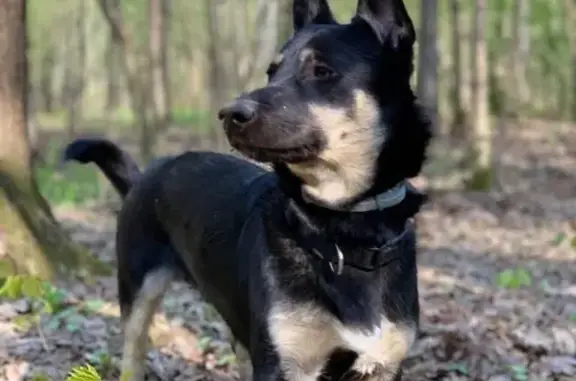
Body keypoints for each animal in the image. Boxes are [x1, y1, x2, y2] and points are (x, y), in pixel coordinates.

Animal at [63, 1, 432, 378]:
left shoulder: (383, 365)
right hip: (138, 296)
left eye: (322, 71)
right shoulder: (281, 362)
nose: (229, 114)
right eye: (272, 71)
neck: (344, 229)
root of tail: (142, 178)